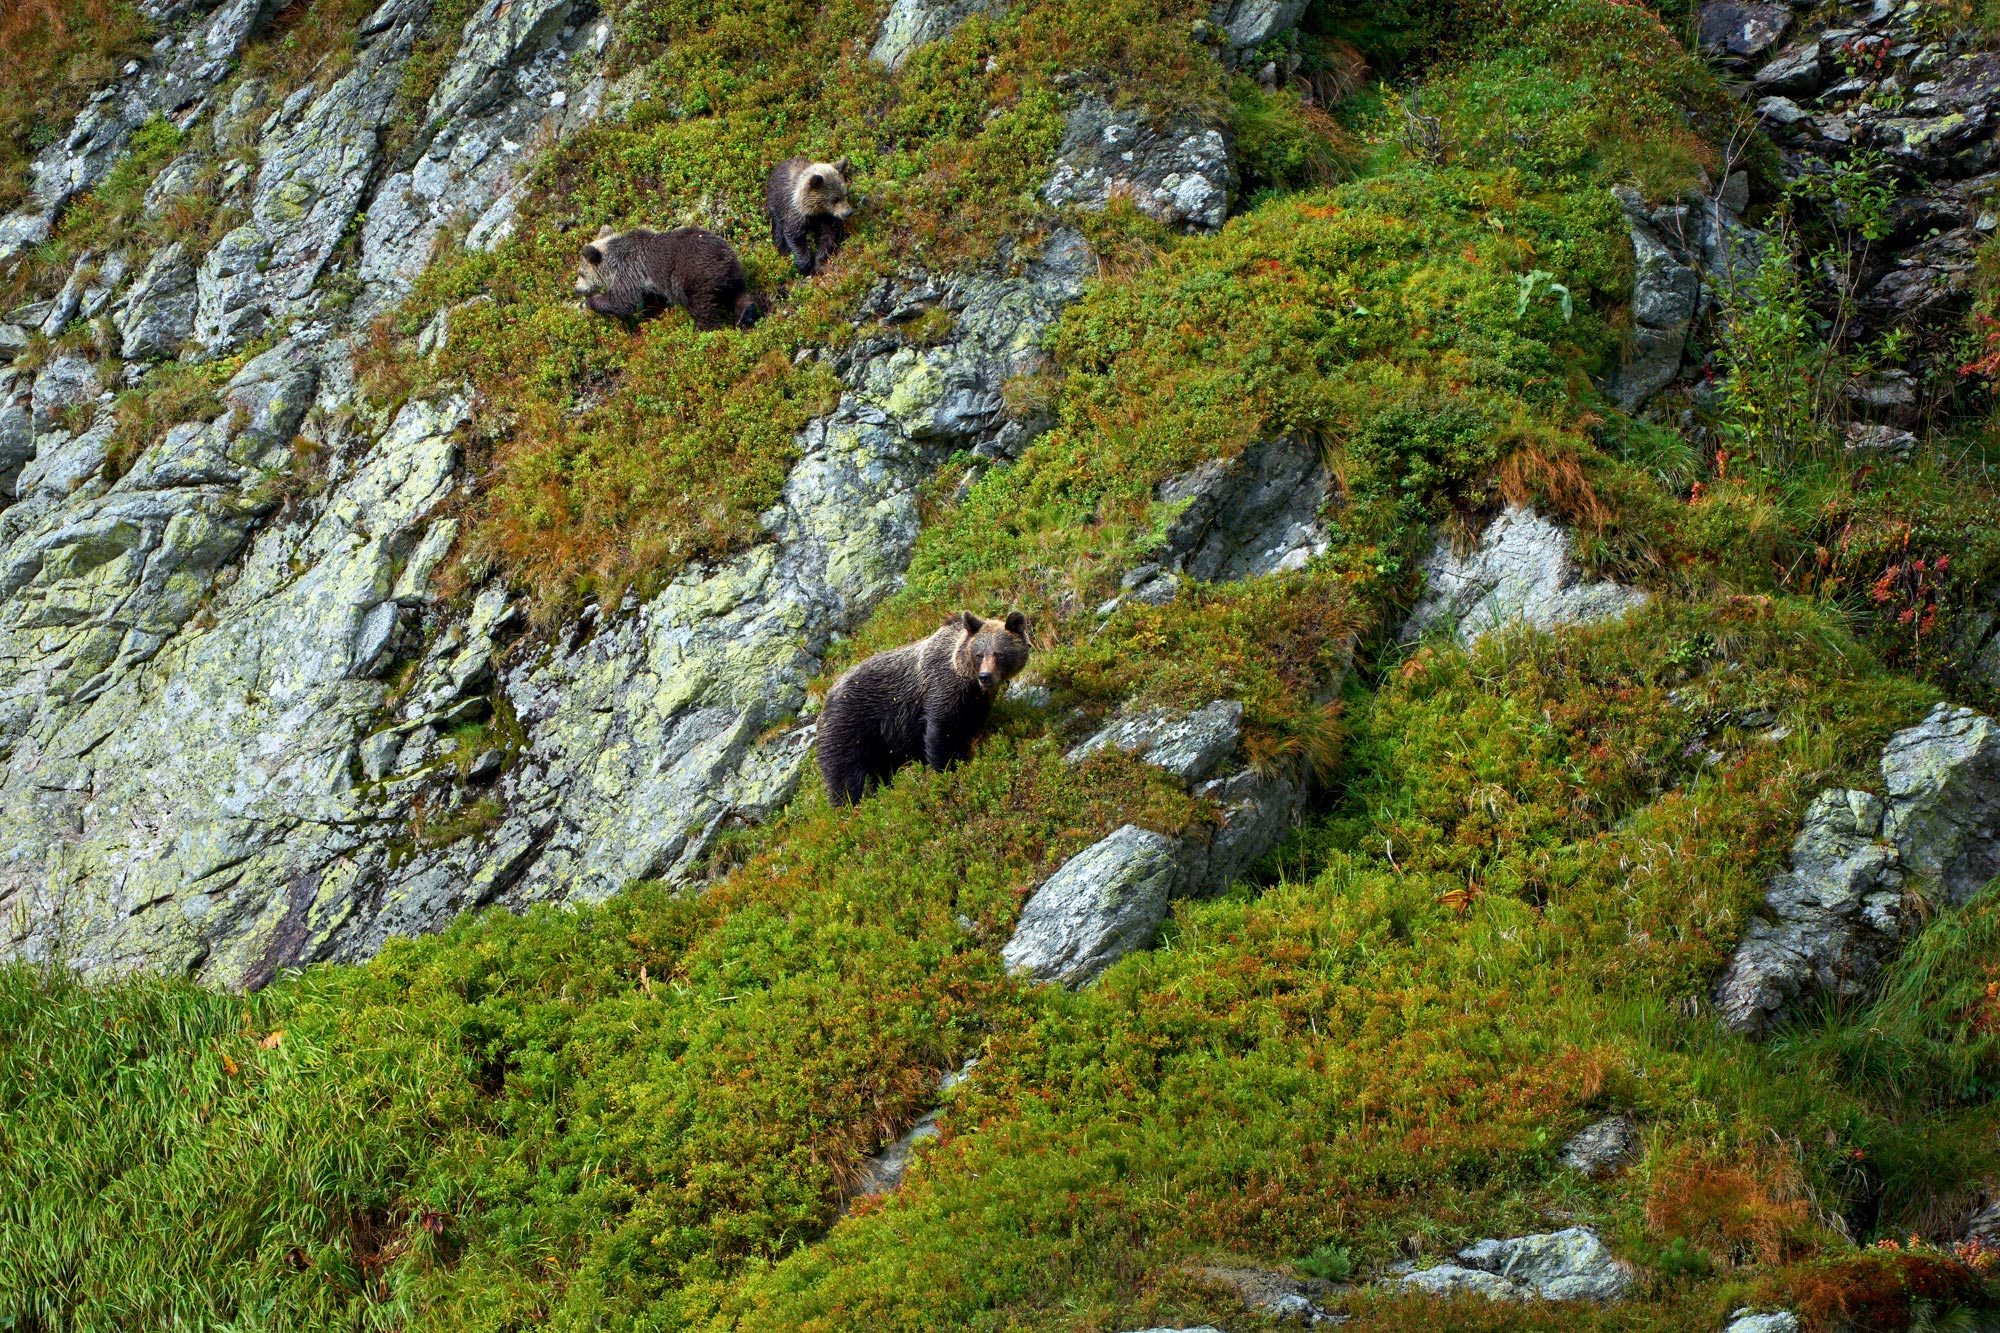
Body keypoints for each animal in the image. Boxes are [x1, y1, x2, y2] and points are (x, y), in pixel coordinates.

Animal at [584, 226, 768, 330]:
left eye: (581, 274)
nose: (578, 289)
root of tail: (721, 256)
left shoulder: (630, 270)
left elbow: (624, 300)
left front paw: (593, 300)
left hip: (693, 276)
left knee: (701, 305)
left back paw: (704, 329)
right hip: (733, 271)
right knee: (738, 292)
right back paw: (745, 314)